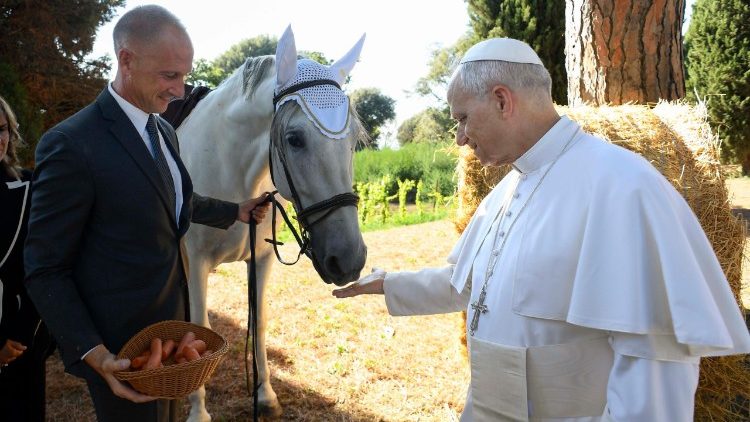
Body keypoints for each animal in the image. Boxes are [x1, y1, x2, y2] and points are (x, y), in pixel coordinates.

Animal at [176, 27, 368, 420]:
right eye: (294, 139)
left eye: (354, 140)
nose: (350, 260)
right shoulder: (196, 262)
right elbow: (199, 327)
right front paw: (198, 410)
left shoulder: (261, 261)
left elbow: (260, 321)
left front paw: (265, 394)